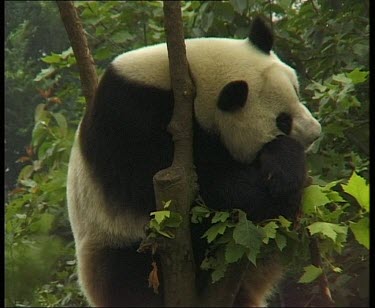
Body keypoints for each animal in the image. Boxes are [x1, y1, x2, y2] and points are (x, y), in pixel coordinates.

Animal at [67, 17, 320, 308]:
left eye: (296, 92)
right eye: (282, 121)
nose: (315, 133)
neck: (192, 79)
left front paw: (284, 172)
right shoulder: (130, 122)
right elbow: (199, 187)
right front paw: (275, 186)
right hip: (113, 248)